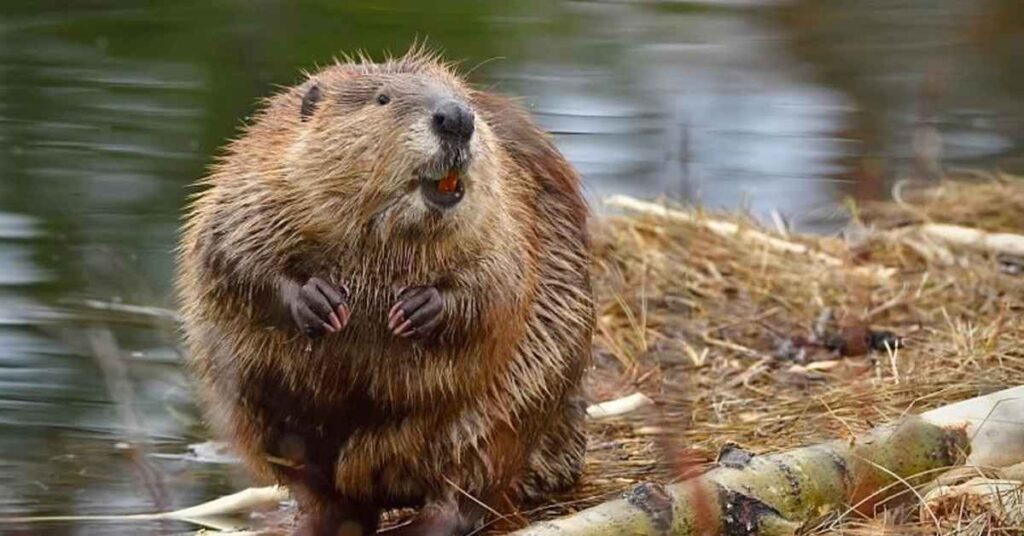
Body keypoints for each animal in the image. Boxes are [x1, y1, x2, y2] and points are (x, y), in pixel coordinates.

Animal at [176, 48, 593, 532]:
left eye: (463, 98)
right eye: (382, 98)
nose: (456, 117)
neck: (388, 236)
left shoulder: (508, 210)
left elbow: (500, 282)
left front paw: (417, 308)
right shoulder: (256, 178)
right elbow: (227, 250)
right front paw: (320, 302)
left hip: (504, 411)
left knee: (469, 481)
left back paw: (426, 522)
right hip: (265, 423)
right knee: (323, 490)